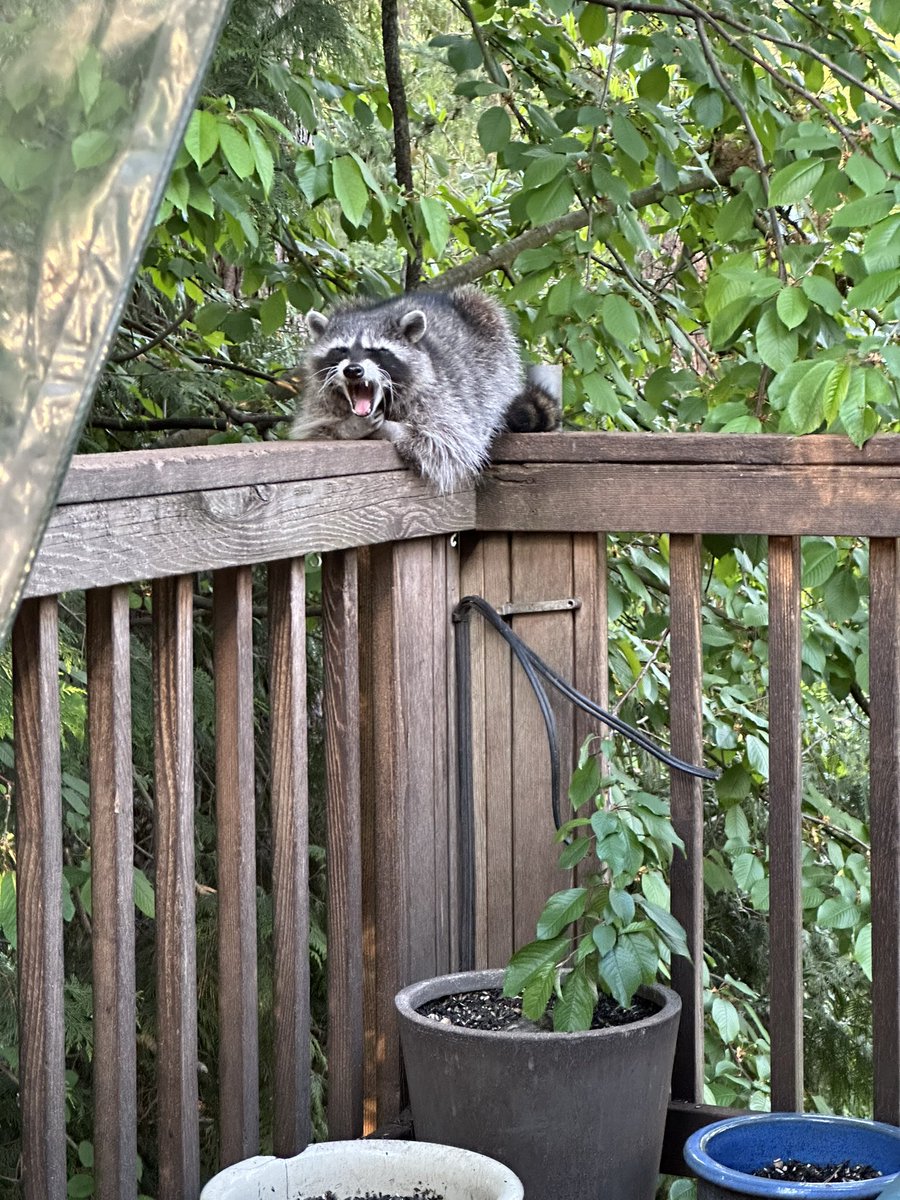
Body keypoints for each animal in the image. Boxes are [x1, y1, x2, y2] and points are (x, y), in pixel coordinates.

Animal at [287, 285, 560, 493]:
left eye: (376, 351)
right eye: (341, 350)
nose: (353, 370)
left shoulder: (441, 397)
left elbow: (448, 444)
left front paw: (393, 429)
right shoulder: (320, 402)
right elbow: (314, 430)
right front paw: (347, 427)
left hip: (494, 346)